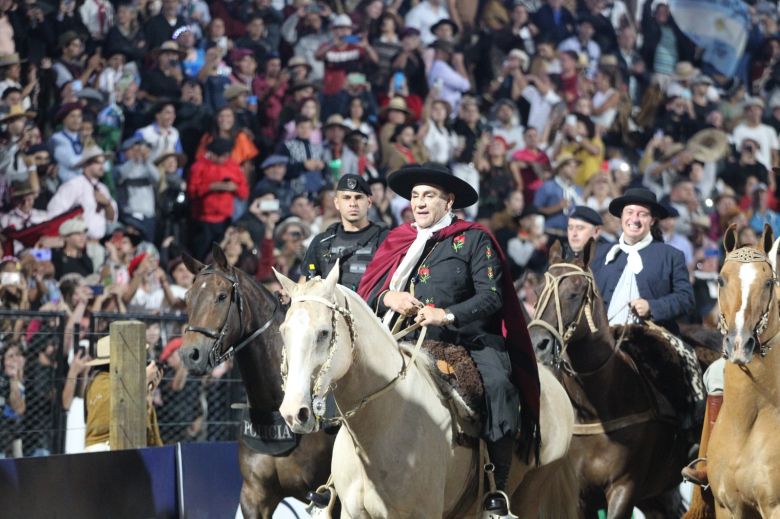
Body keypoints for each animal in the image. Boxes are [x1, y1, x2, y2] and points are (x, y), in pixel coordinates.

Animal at [274, 266, 580, 516]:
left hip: (531, 493)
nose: (294, 413)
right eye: (283, 331)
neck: (382, 424)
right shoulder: (353, 513)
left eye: (324, 333)